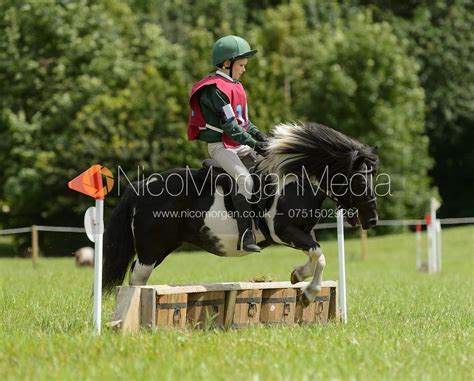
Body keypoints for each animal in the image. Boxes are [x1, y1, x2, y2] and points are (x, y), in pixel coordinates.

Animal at [103, 123, 378, 304]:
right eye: (360, 181)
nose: (372, 220)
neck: (294, 180)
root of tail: (139, 187)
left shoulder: (304, 232)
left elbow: (315, 255)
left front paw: (298, 276)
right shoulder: (283, 232)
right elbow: (319, 255)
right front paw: (309, 293)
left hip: (162, 248)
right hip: (151, 250)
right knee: (136, 279)